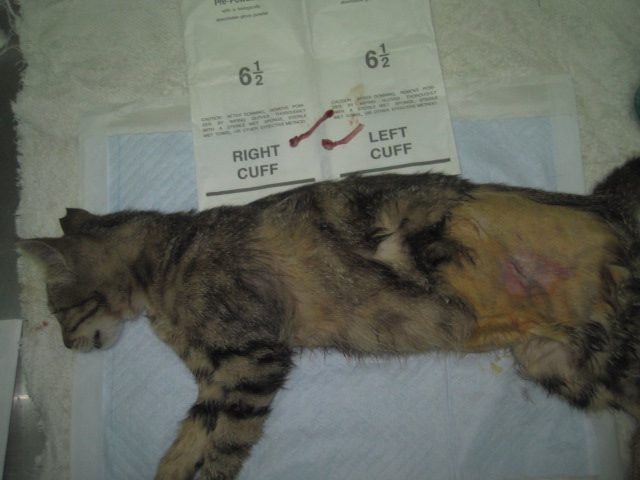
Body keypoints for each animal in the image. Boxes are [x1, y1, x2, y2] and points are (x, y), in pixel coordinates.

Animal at [18, 156, 640, 480]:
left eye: (59, 311)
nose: (68, 346)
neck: (165, 265)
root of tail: (607, 209)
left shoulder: (252, 360)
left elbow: (225, 443)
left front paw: (210, 468)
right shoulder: (216, 378)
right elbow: (191, 435)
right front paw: (172, 469)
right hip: (564, 365)